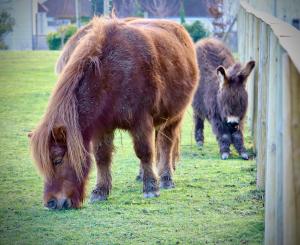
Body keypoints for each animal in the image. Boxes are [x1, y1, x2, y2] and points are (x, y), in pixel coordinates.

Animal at [29, 17, 199, 210]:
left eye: (57, 160)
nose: (50, 203)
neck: (112, 74)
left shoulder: (141, 121)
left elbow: (145, 152)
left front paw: (151, 187)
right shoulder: (102, 127)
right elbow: (102, 157)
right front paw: (100, 191)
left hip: (173, 118)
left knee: (165, 146)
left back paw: (165, 178)